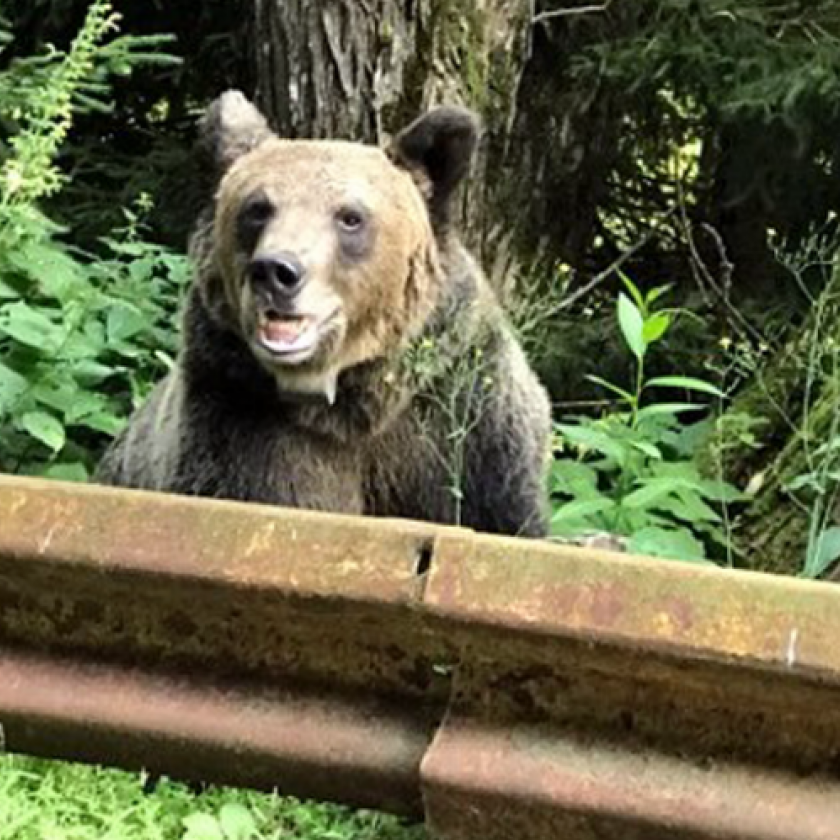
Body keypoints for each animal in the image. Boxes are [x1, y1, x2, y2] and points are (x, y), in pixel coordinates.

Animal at [95, 90, 552, 540]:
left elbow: (496, 509)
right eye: (257, 208)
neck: (352, 403)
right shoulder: (240, 417)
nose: (275, 271)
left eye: (350, 216)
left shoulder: (463, 419)